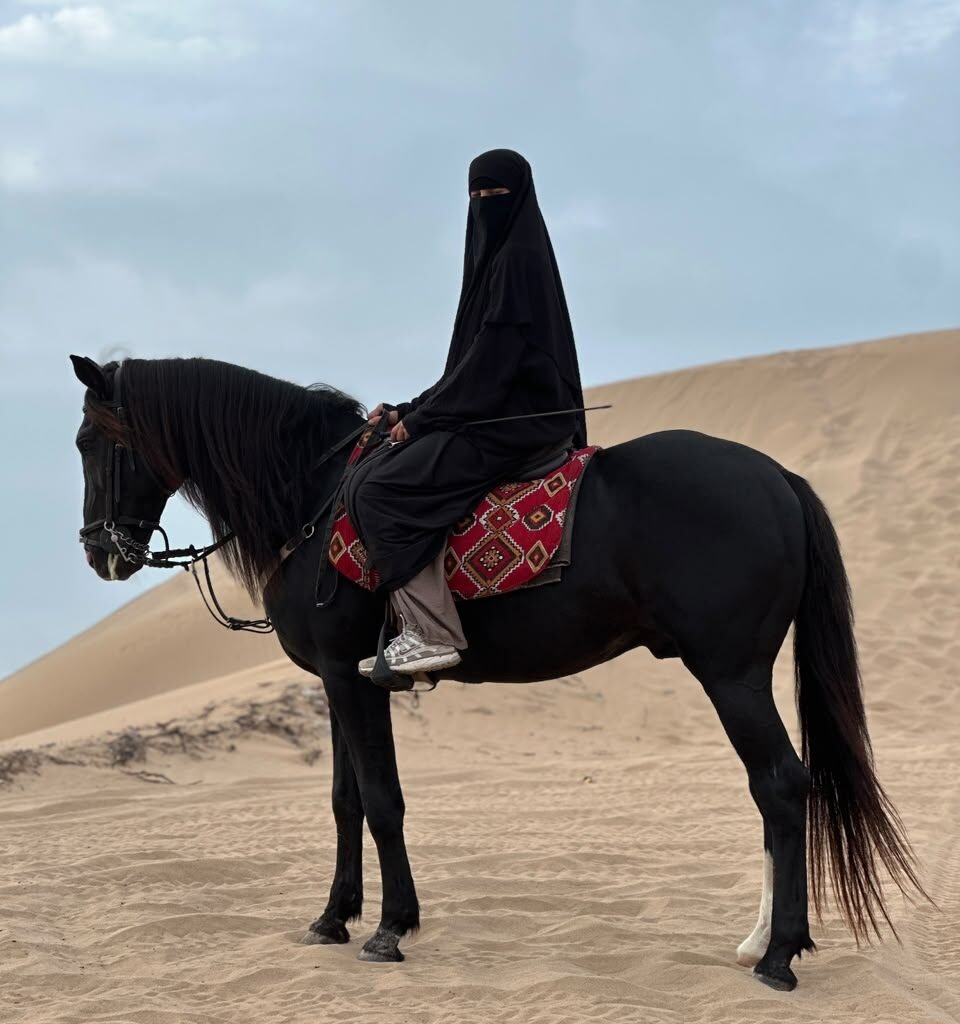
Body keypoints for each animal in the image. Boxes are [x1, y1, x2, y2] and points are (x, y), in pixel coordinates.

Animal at [70, 353, 926, 991]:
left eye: (91, 441)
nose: (100, 553)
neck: (308, 495)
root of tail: (780, 479)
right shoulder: (337, 680)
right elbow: (345, 803)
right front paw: (332, 919)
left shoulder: (350, 678)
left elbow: (382, 802)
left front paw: (390, 928)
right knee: (776, 791)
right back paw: (760, 941)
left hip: (731, 673)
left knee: (780, 785)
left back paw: (778, 956)